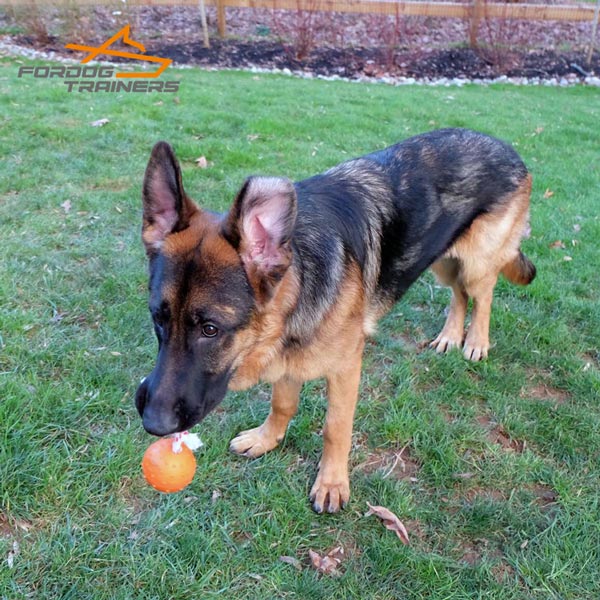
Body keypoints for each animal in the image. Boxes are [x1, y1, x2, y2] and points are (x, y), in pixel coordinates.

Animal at [135, 129, 536, 512]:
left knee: (482, 296)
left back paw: (476, 342)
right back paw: (451, 336)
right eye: (158, 318)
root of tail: (506, 147)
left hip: (476, 263)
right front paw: (266, 439)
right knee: (459, 295)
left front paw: (331, 484)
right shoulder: (289, 356)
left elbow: (335, 428)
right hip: (443, 259)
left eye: (210, 329)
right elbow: (282, 403)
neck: (297, 283)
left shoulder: (345, 367)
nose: (153, 423)